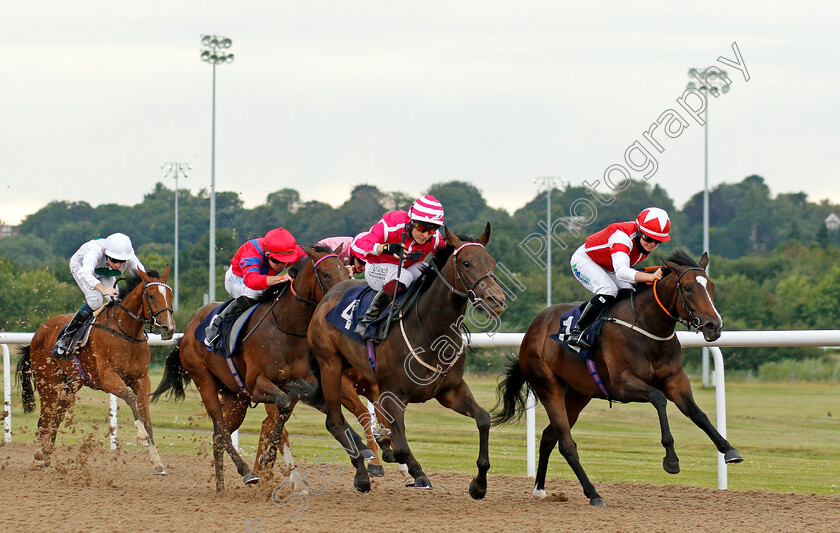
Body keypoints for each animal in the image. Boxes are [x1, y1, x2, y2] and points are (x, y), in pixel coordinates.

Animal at [16, 266, 176, 474]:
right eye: (150, 295)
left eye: (170, 295)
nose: (168, 328)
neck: (126, 333)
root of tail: (38, 332)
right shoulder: (108, 377)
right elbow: (130, 398)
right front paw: (140, 436)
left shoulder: (142, 379)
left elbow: (146, 416)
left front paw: (157, 462)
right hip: (48, 383)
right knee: (46, 416)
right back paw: (39, 456)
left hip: (69, 386)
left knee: (56, 417)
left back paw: (46, 456)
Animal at [153, 245, 370, 490]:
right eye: (325, 274)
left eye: (346, 270)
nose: (342, 295)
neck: (285, 327)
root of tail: (189, 328)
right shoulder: (257, 384)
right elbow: (282, 408)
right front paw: (265, 462)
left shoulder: (298, 384)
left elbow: (290, 414)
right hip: (205, 382)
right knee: (222, 430)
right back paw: (247, 473)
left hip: (235, 398)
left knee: (219, 435)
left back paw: (220, 487)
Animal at [308, 222, 506, 496]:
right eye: (466, 263)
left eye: (491, 261)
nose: (496, 300)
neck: (431, 329)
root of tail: (328, 297)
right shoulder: (394, 393)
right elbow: (401, 447)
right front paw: (418, 474)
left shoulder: (451, 391)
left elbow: (484, 420)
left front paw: (479, 484)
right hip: (331, 367)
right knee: (335, 422)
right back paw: (362, 476)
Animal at [492, 250, 740, 508]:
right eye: (689, 288)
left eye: (710, 286)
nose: (714, 326)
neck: (647, 327)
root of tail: (531, 331)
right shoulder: (622, 385)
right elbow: (658, 398)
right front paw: (671, 459)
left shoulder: (676, 381)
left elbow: (697, 413)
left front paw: (729, 449)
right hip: (548, 387)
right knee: (567, 444)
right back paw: (593, 493)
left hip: (578, 395)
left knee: (550, 437)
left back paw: (540, 489)